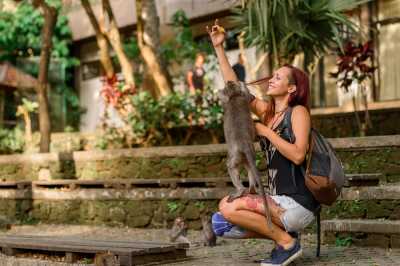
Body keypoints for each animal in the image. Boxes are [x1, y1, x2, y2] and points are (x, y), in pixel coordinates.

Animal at [217, 81, 274, 229]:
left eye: (228, 84)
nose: (229, 82)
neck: (234, 96)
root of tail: (244, 144)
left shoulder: (226, 99)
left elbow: (222, 98)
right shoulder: (242, 96)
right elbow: (249, 97)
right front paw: (243, 85)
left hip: (236, 155)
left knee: (230, 166)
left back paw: (241, 190)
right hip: (248, 155)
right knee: (250, 168)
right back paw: (252, 189)